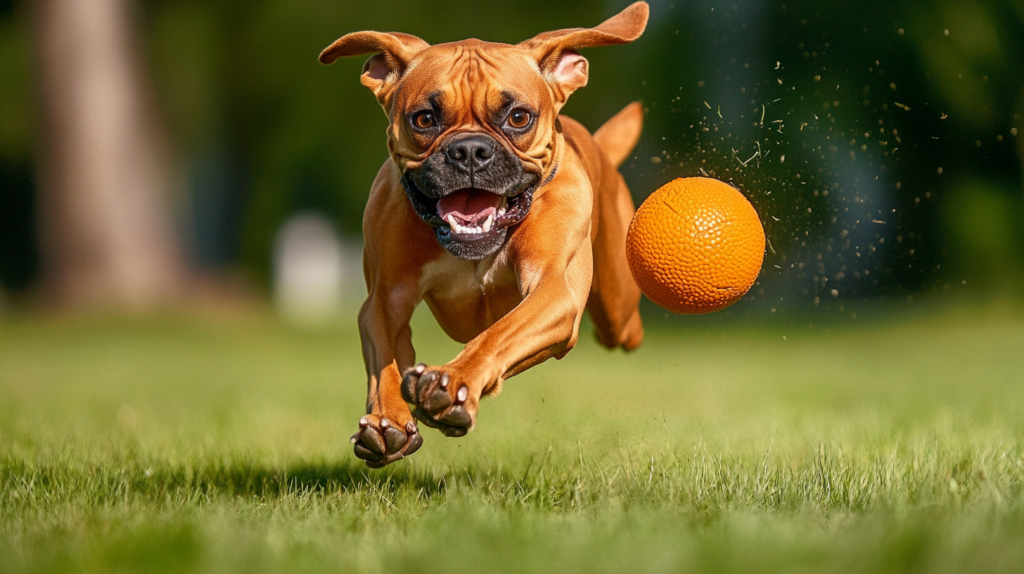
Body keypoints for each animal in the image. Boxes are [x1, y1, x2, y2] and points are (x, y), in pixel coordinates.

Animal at [319, 1, 647, 466]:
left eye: (518, 117)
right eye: (424, 118)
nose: (470, 150)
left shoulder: (553, 292)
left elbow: (494, 336)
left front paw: (451, 383)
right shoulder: (384, 301)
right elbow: (384, 362)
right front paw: (387, 421)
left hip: (619, 311)